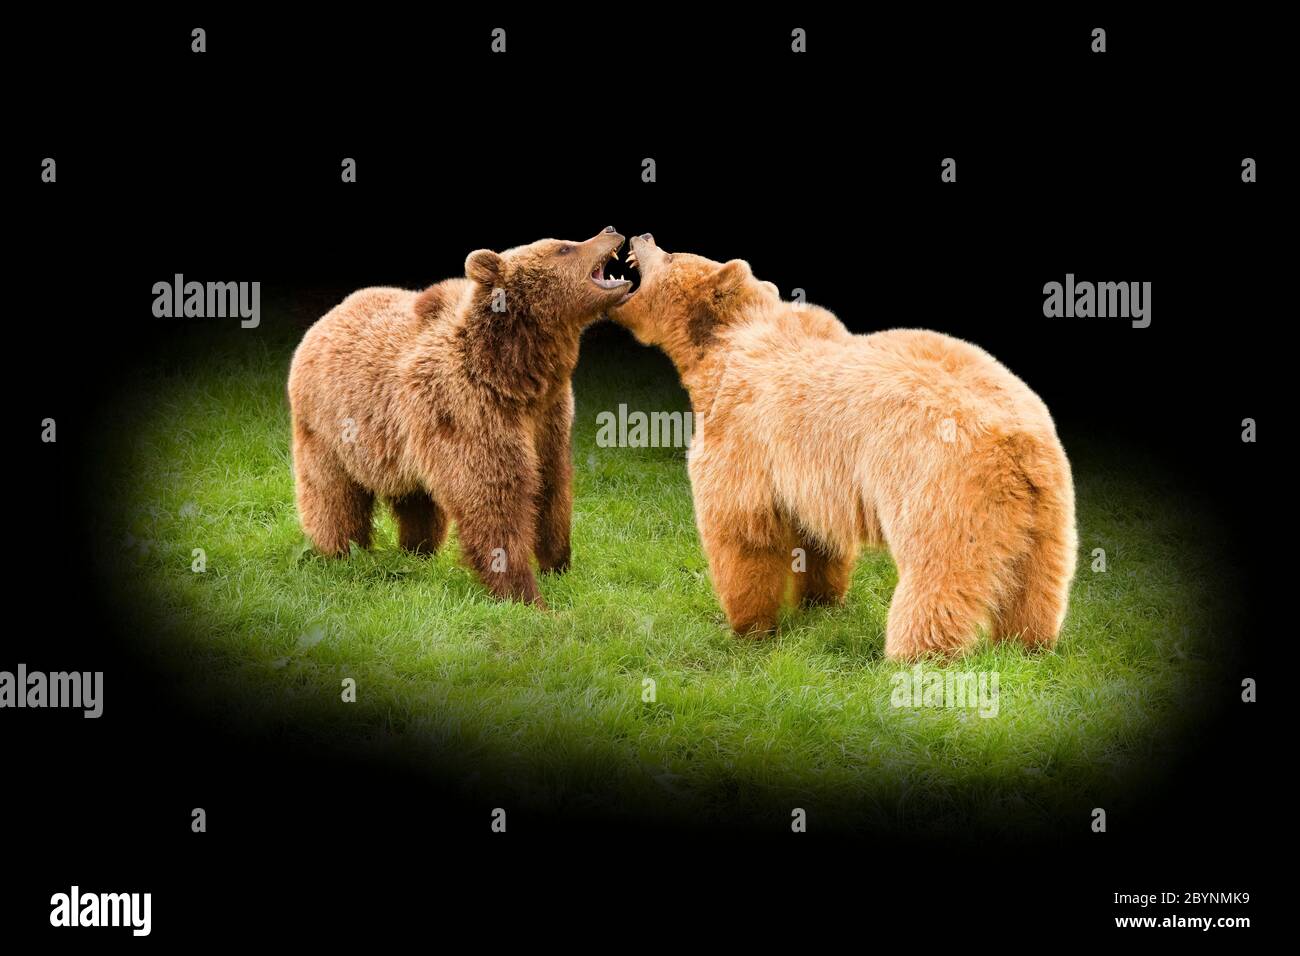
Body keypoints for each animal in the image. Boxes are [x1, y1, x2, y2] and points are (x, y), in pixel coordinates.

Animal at [287, 227, 633, 606]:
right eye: (564, 248)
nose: (610, 230)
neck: (516, 374)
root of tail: (327, 317)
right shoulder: (470, 408)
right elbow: (494, 498)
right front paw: (525, 593)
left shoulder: (549, 415)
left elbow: (552, 485)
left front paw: (558, 565)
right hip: (329, 428)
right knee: (333, 496)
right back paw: (341, 552)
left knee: (418, 501)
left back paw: (417, 551)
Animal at [611, 234, 1077, 659]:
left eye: (673, 254)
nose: (644, 235)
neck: (719, 351)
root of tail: (1017, 441)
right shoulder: (811, 476)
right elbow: (818, 539)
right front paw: (820, 603)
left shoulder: (746, 436)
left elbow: (743, 531)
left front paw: (748, 627)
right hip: (1046, 509)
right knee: (1037, 580)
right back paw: (1028, 643)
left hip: (941, 488)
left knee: (938, 576)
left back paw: (915, 656)